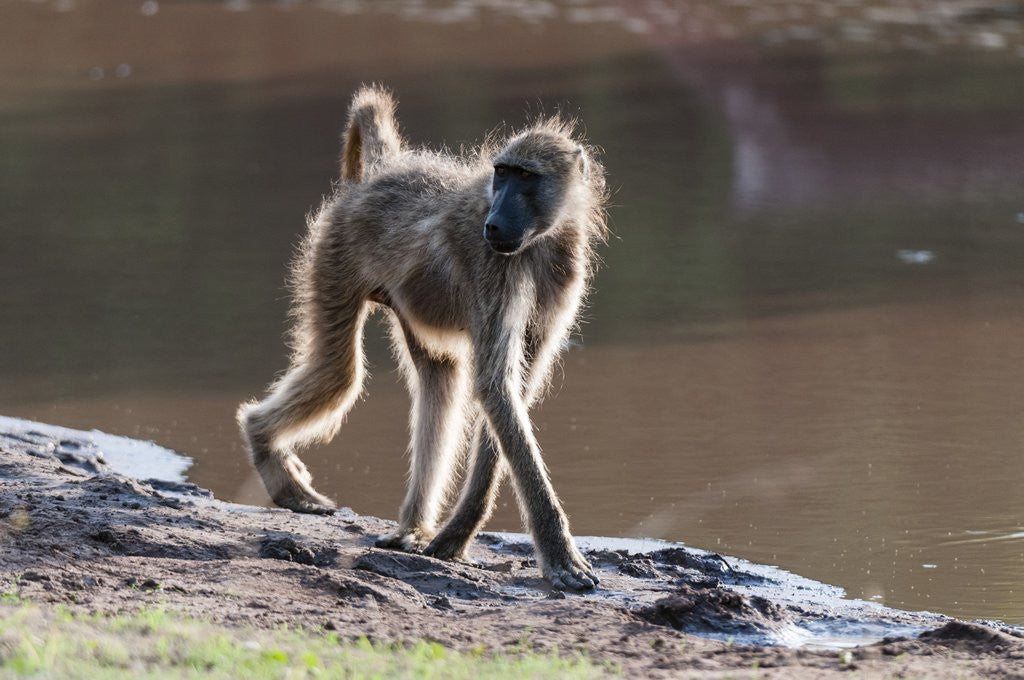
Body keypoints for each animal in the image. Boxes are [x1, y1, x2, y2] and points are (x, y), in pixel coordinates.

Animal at [237, 85, 609, 590]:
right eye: (501, 174)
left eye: (525, 177)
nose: (493, 225)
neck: (540, 241)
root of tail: (382, 173)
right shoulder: (494, 269)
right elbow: (496, 387)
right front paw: (560, 557)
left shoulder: (561, 275)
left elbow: (510, 396)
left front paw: (456, 536)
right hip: (335, 252)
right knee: (339, 375)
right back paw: (267, 449)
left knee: (439, 379)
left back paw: (411, 528)